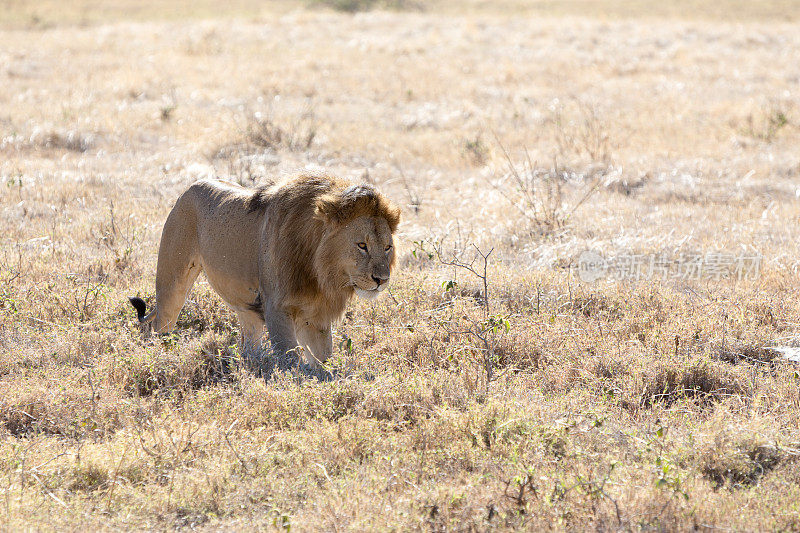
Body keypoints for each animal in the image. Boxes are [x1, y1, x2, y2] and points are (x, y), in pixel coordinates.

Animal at [131, 172, 404, 376]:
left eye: (387, 248)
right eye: (362, 245)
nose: (382, 280)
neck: (320, 271)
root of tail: (190, 187)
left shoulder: (315, 316)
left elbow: (322, 360)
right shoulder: (277, 308)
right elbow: (289, 360)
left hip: (247, 311)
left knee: (248, 344)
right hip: (172, 286)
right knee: (155, 326)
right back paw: (154, 358)